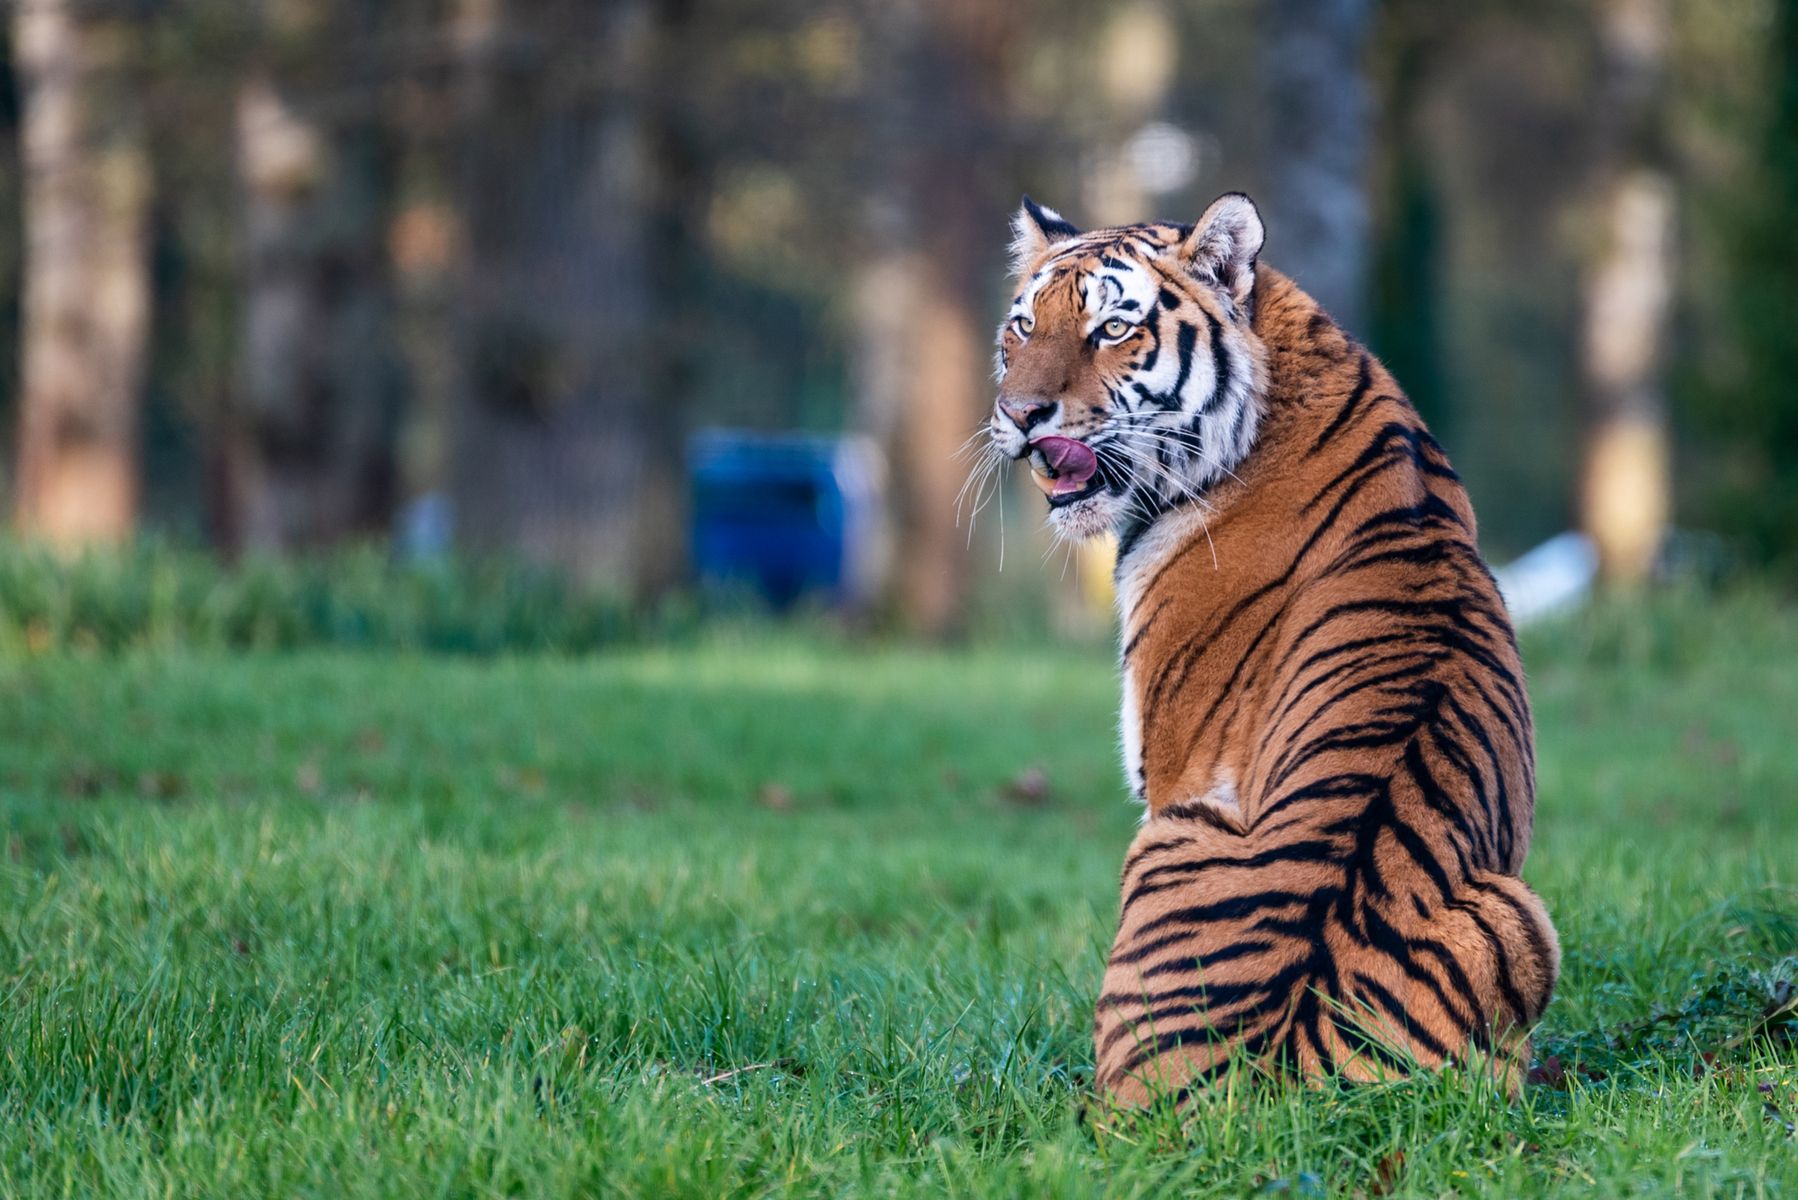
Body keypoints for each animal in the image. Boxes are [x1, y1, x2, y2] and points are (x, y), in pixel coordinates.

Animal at [985, 189, 1560, 1108]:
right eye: (1022, 326)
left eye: (1112, 329)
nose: (1018, 415)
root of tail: (1282, 1078)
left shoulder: (1168, 766)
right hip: (1523, 914)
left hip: (1171, 835)